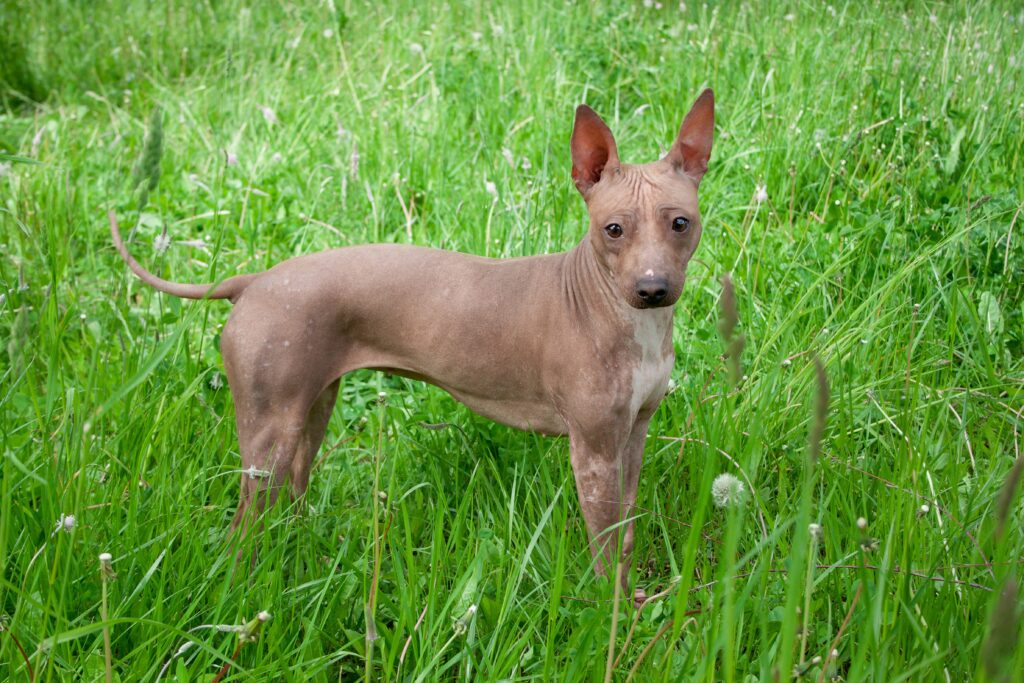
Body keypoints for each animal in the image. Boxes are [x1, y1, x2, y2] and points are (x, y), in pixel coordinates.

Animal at [108, 89, 708, 602]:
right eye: (613, 229)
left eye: (680, 223)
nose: (652, 289)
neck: (624, 319)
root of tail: (255, 280)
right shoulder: (593, 450)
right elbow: (605, 544)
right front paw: (613, 613)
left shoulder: (632, 435)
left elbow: (626, 532)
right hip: (268, 437)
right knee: (242, 528)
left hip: (309, 416)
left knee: (291, 498)